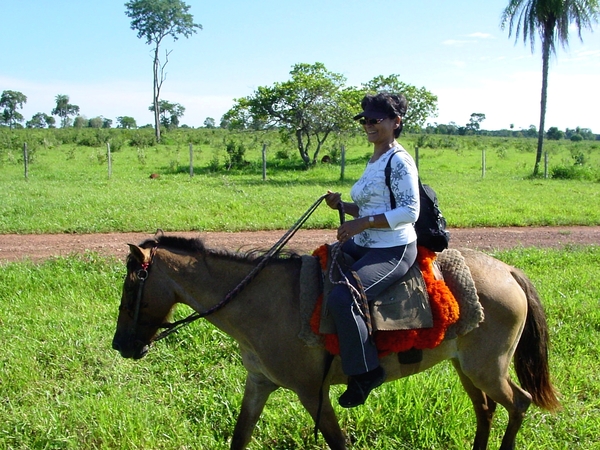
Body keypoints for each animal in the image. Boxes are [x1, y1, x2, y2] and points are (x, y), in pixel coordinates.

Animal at [111, 236, 556, 450]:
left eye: (131, 288)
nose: (120, 345)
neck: (260, 301)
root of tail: (509, 271)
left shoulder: (313, 392)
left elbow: (338, 443)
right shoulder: (259, 383)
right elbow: (240, 437)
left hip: (488, 367)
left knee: (518, 403)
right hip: (465, 366)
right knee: (485, 410)